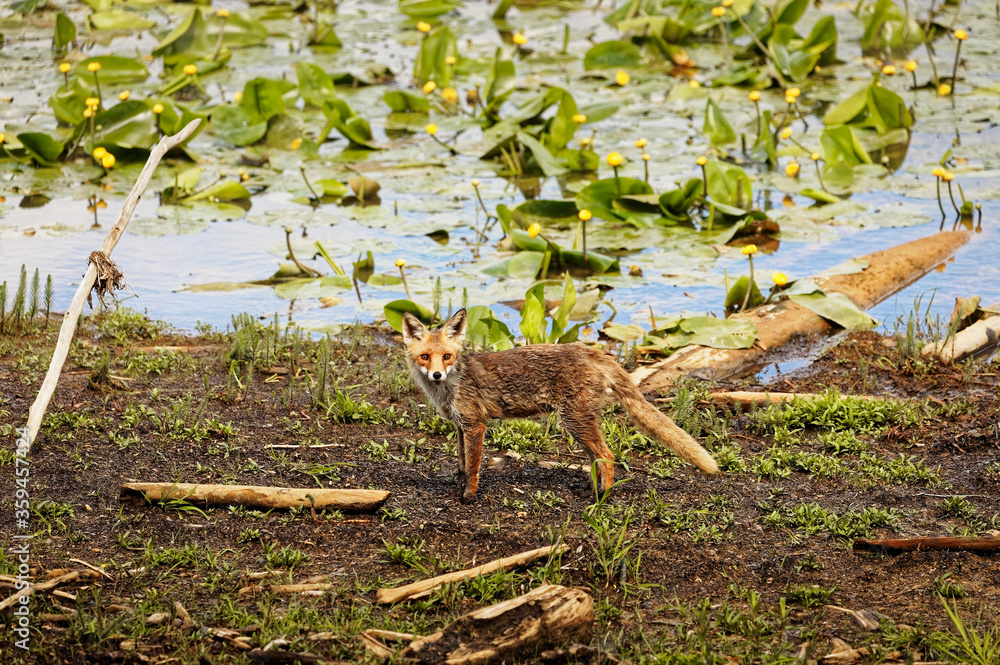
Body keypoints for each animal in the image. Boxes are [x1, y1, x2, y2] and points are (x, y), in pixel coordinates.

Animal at [400, 308, 719, 503]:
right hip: (580, 422)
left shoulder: (475, 425)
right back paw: (592, 489)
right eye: (426, 356)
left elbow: (475, 466)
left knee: (608, 456)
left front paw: (469, 496)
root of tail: (592, 352)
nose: (437, 374)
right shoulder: (460, 426)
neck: (450, 387)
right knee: (596, 458)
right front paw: (459, 484)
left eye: (447, 356)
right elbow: (462, 463)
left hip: (573, 420)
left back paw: (603, 497)